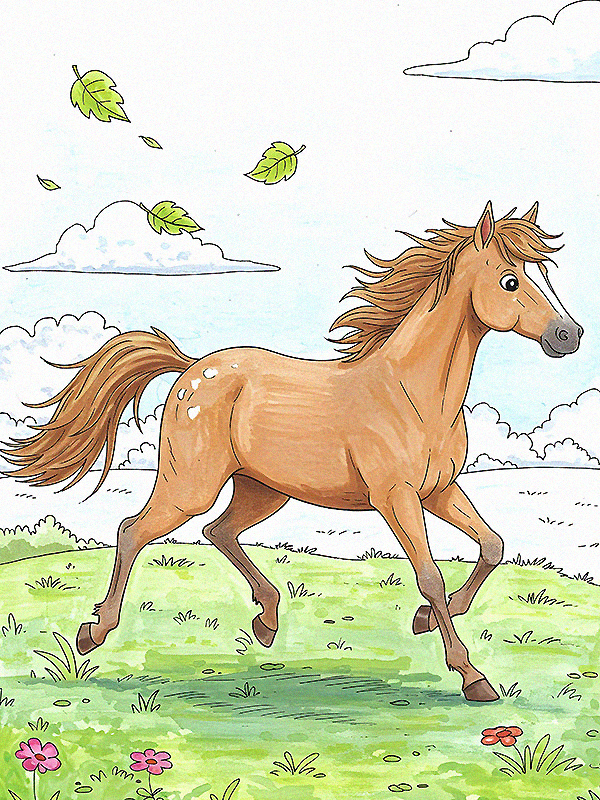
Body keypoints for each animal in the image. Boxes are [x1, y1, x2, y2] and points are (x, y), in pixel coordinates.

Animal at [3, 201, 582, 702]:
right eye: (510, 280)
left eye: (545, 274)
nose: (569, 334)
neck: (413, 393)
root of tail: (192, 368)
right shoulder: (396, 498)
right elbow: (431, 577)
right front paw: (472, 677)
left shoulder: (439, 491)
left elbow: (493, 546)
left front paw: (422, 623)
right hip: (190, 486)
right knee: (134, 530)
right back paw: (94, 633)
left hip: (263, 490)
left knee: (218, 531)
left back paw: (267, 619)